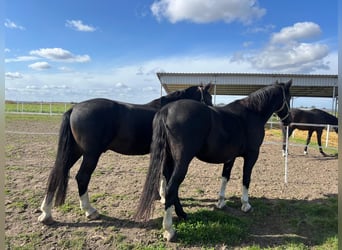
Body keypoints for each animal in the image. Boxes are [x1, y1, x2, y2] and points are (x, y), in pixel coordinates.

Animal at [38, 84, 212, 225]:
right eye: (208, 98)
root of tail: (74, 109)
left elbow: (163, 175)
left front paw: (161, 196)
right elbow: (165, 176)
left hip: (75, 151)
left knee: (57, 172)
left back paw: (46, 213)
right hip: (90, 155)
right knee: (82, 177)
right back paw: (90, 210)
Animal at [135, 79, 292, 240]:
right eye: (289, 97)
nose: (289, 120)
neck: (251, 113)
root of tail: (166, 110)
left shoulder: (230, 157)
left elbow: (225, 177)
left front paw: (221, 202)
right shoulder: (252, 155)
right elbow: (246, 179)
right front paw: (246, 205)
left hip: (168, 161)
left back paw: (182, 215)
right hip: (181, 163)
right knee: (171, 189)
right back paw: (169, 230)